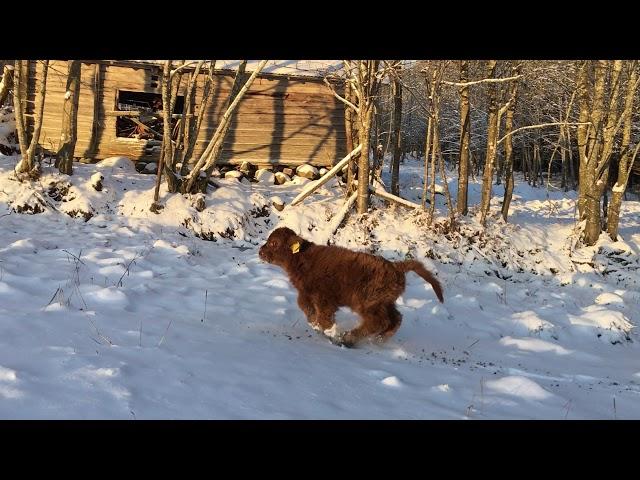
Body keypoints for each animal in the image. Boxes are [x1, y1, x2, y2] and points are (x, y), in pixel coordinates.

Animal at [260, 227, 444, 346]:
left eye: (274, 243)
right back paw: (379, 340)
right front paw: (313, 321)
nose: (260, 252)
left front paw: (324, 330)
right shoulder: (306, 292)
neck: (303, 259)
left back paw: (347, 338)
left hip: (368, 302)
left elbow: (324, 316)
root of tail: (396, 266)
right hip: (384, 302)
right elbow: (303, 304)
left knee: (378, 322)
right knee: (395, 319)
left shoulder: (324, 297)